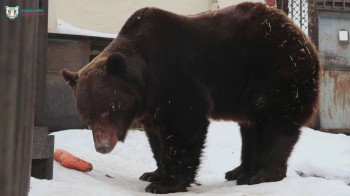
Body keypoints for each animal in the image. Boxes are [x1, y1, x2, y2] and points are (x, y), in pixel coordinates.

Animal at [60, 2, 320, 194]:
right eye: (87, 118)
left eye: (108, 109)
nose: (102, 147)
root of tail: (305, 41)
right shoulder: (150, 105)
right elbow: (156, 137)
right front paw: (153, 173)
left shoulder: (175, 79)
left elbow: (183, 126)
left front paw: (166, 183)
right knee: (250, 129)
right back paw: (239, 170)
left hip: (277, 75)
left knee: (275, 126)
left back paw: (261, 174)